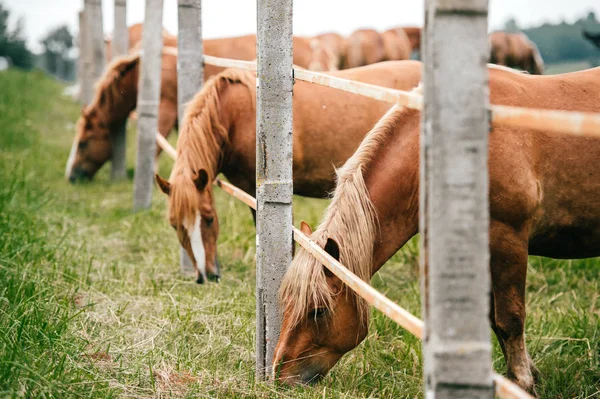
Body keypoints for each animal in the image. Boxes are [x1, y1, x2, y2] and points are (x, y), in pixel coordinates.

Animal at [274, 66, 600, 396]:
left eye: (318, 311)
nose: (280, 375)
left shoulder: (507, 241)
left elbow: (509, 320)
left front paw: (522, 383)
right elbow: (490, 318)